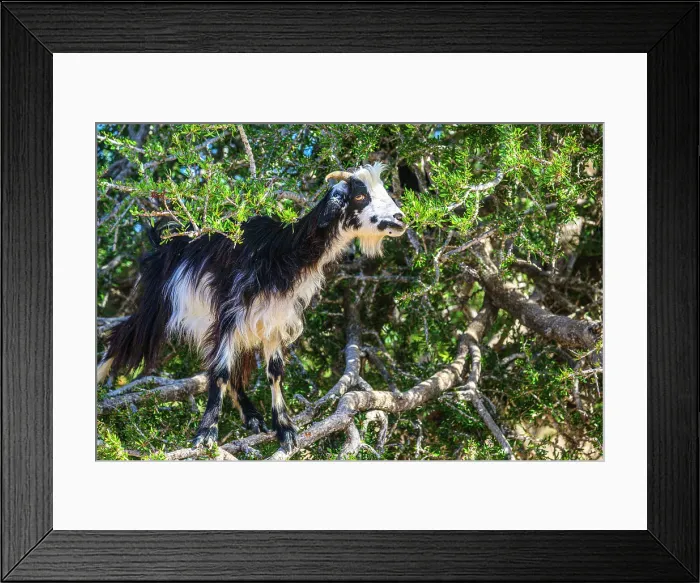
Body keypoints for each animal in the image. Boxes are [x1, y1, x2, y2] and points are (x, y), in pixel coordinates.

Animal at [97, 162, 407, 452]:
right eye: (359, 196)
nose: (400, 219)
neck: (279, 253)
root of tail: (163, 242)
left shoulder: (274, 319)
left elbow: (274, 371)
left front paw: (284, 428)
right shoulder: (229, 312)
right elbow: (221, 371)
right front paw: (205, 433)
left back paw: (252, 416)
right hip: (158, 306)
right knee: (123, 337)